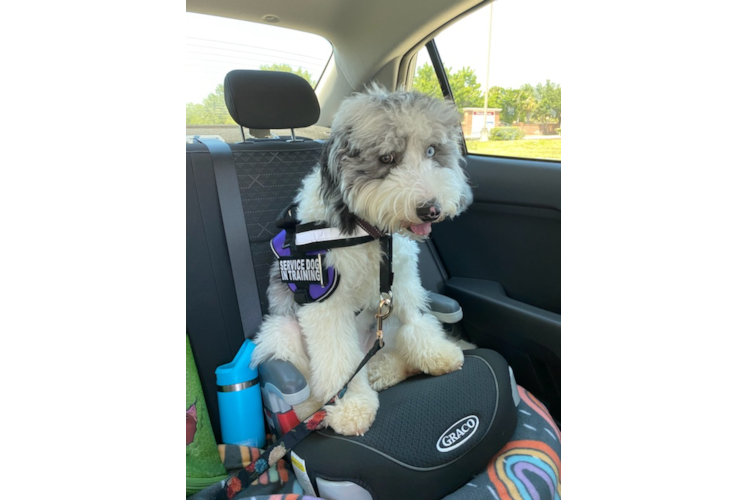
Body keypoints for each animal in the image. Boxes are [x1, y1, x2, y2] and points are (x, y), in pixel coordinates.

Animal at [251, 84, 474, 436]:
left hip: (381, 326)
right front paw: (351, 407)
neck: (368, 230)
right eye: (387, 158)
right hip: (281, 330)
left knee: (385, 356)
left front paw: (437, 354)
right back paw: (314, 410)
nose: (431, 209)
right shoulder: (324, 302)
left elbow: (416, 320)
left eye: (431, 151)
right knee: (310, 385)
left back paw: (385, 370)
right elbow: (337, 359)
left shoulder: (403, 281)